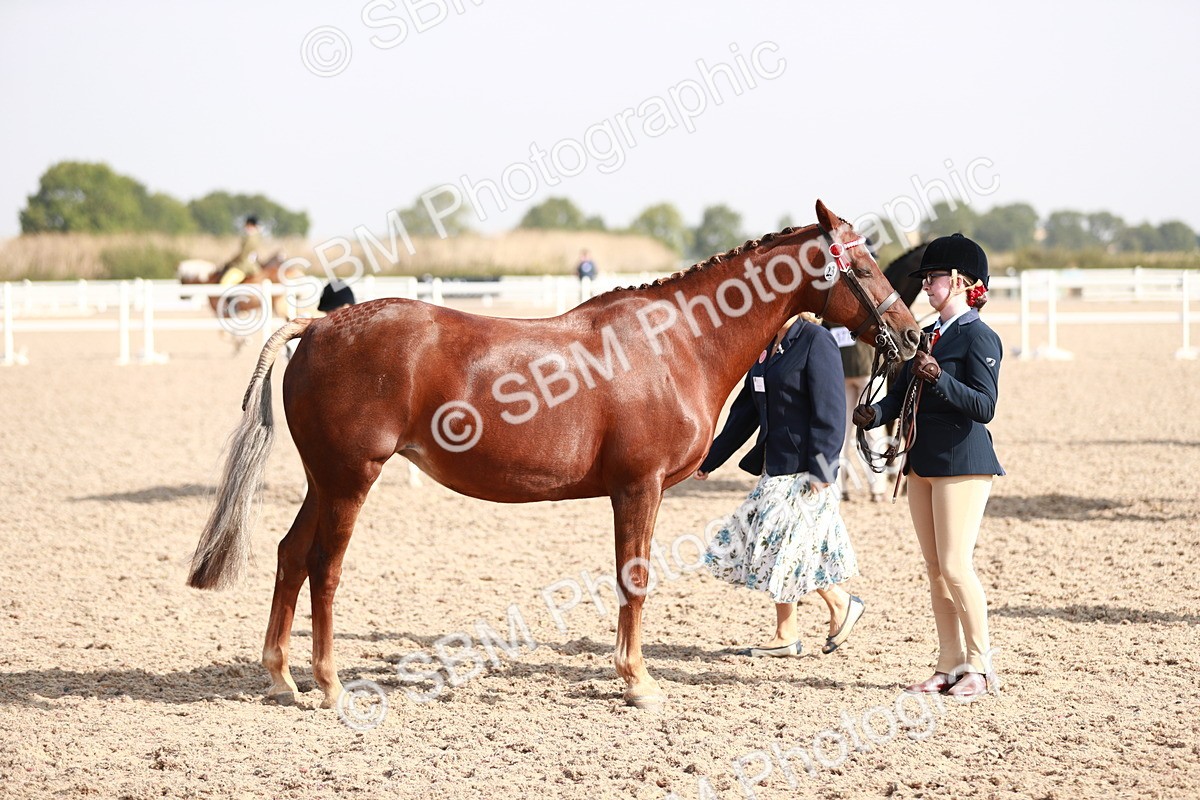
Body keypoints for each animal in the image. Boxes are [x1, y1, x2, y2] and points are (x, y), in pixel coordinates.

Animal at [186, 200, 921, 711]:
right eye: (861, 266)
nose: (913, 338)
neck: (676, 342)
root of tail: (318, 324)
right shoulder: (638, 487)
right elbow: (635, 579)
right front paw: (637, 682)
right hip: (348, 481)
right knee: (323, 568)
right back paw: (331, 685)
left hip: (323, 480)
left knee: (288, 556)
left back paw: (282, 678)